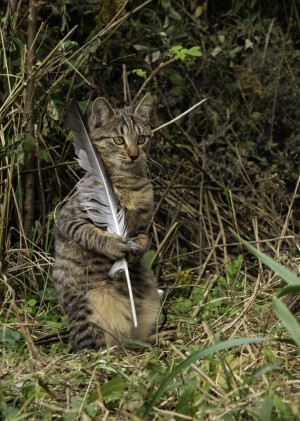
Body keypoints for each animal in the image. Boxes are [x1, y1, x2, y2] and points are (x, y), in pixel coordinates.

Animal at [54, 92, 162, 352]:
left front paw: (135, 249)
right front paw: (114, 245)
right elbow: (90, 233)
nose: (134, 154)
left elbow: (144, 238)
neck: (129, 182)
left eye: (141, 139)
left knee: (137, 338)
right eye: (119, 140)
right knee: (97, 345)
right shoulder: (67, 219)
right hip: (93, 309)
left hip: (153, 302)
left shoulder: (143, 227)